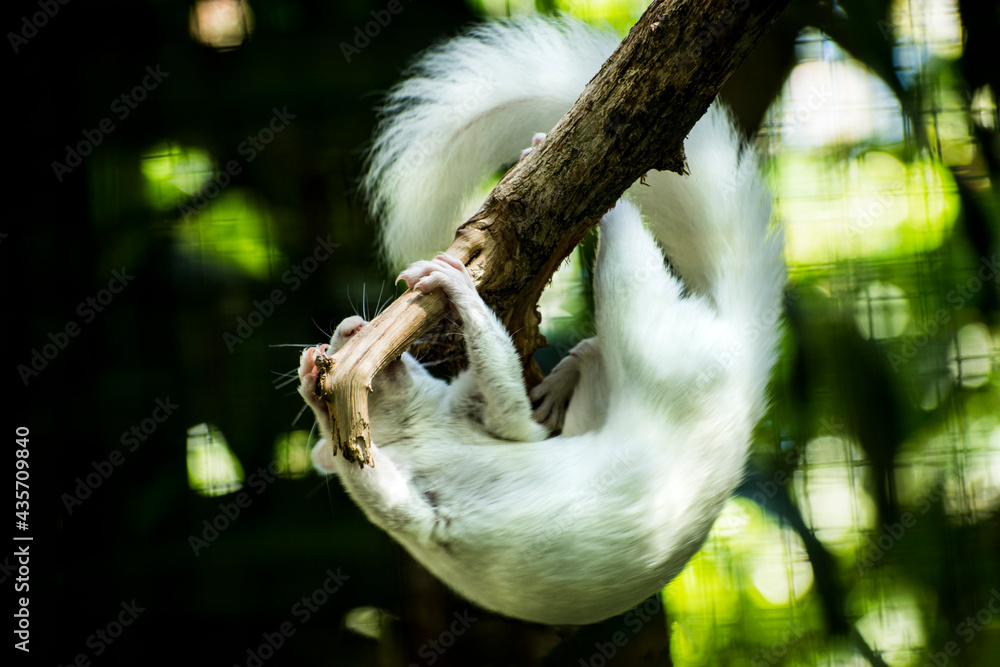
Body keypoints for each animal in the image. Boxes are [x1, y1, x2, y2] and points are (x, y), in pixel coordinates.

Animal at [298, 16, 785, 626]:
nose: (343, 332)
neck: (424, 431)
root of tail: (746, 364)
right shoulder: (438, 493)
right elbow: (386, 481)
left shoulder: (484, 420)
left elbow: (501, 383)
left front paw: (447, 285)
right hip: (646, 331)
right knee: (623, 253)